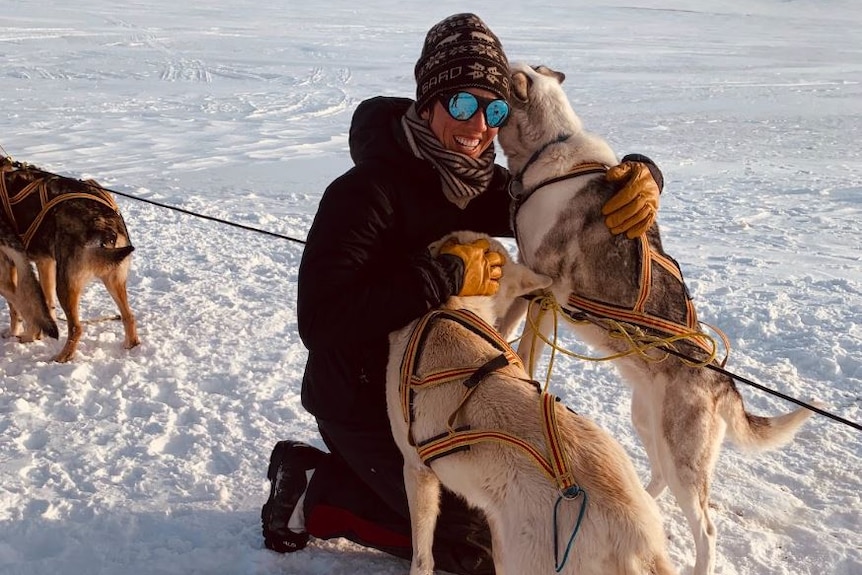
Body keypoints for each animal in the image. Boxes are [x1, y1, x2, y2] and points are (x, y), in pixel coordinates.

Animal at [0, 155, 140, 362]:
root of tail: (106, 228)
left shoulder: (11, 265)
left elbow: (18, 306)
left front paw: (20, 335)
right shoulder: (44, 262)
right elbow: (44, 304)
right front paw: (35, 335)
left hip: (66, 285)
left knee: (76, 327)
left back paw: (62, 357)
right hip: (113, 280)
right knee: (129, 316)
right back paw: (130, 345)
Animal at [496, 63, 820, 575]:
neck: (551, 150)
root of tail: (722, 382)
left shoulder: (544, 287)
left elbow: (524, 342)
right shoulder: (530, 279)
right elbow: (509, 325)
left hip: (682, 454)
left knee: (706, 529)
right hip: (648, 425)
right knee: (659, 479)